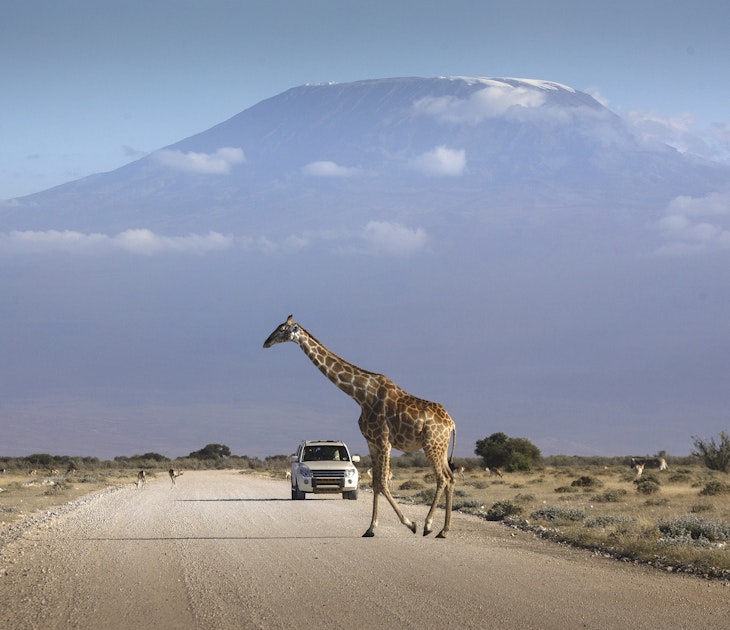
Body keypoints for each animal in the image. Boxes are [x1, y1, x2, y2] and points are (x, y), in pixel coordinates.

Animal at [263, 315, 457, 538]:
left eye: (281, 329)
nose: (266, 342)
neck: (361, 395)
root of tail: (451, 423)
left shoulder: (383, 440)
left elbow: (382, 482)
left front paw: (410, 524)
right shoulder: (371, 441)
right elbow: (376, 483)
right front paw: (371, 528)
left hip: (431, 444)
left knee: (442, 478)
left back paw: (429, 525)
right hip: (440, 447)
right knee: (450, 478)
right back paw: (444, 530)